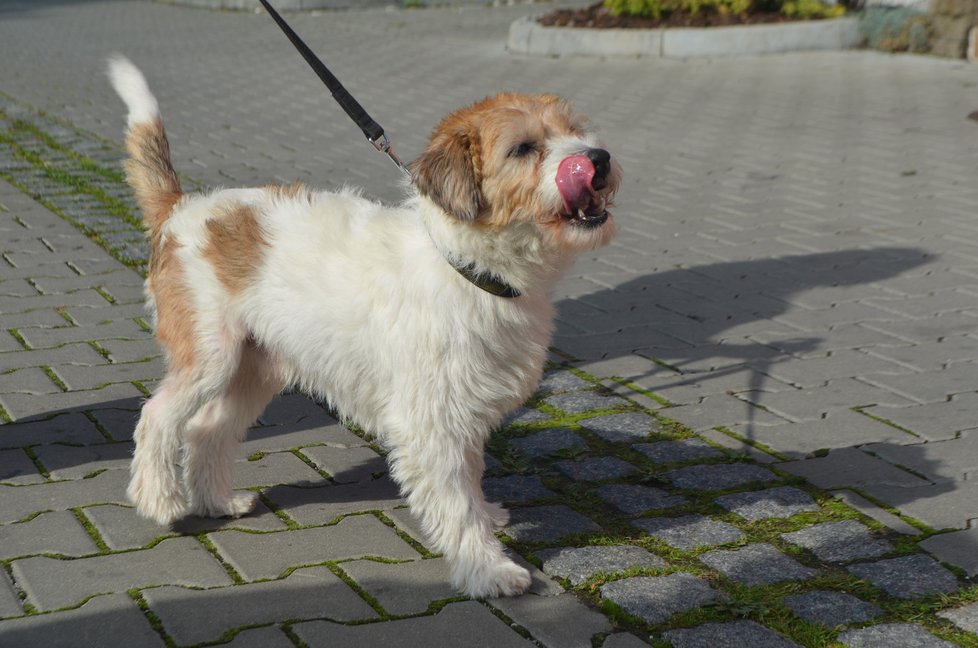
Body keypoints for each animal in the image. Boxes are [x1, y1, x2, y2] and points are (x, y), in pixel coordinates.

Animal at [107, 55, 620, 596]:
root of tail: (183, 209)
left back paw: (217, 502)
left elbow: (471, 477)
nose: (599, 158)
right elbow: (455, 503)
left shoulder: (464, 410)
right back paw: (160, 502)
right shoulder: (431, 423)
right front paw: (487, 568)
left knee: (207, 431)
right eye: (523, 148)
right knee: (157, 415)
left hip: (254, 370)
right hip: (209, 358)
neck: (465, 267)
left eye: (574, 129)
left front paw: (486, 520)